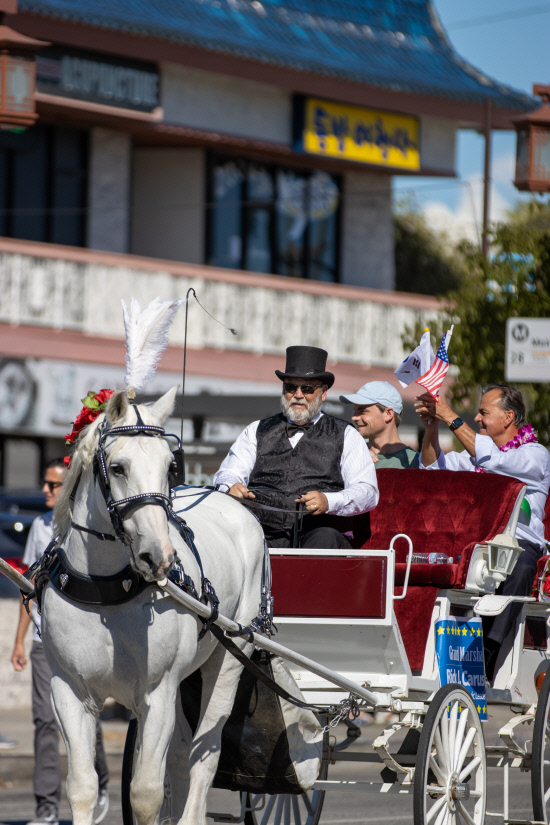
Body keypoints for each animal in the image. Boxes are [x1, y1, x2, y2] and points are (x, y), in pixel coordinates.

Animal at [41, 388, 266, 824]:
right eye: (117, 467)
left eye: (169, 466)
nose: (157, 556)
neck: (106, 591)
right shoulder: (69, 690)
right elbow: (82, 788)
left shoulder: (157, 693)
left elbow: (145, 793)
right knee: (179, 758)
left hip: (230, 658)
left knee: (202, 758)